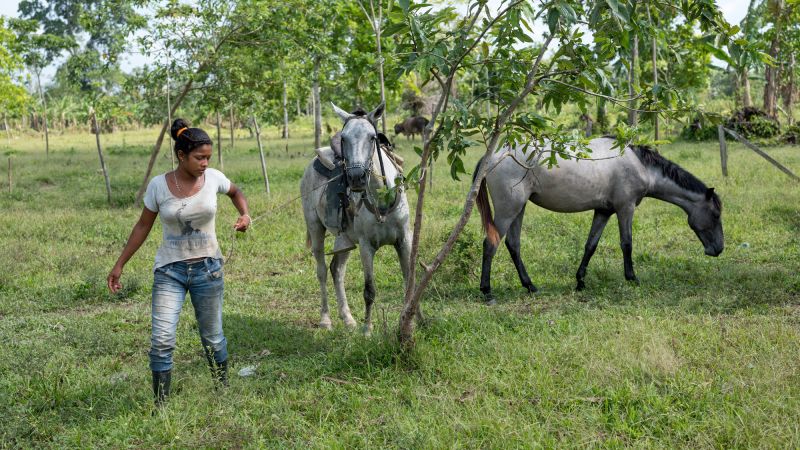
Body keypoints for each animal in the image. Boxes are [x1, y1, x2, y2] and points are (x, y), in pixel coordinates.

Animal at [296, 103, 416, 334]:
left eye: (372, 137)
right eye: (343, 138)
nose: (356, 178)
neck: (381, 198)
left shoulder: (404, 239)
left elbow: (409, 282)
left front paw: (415, 322)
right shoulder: (366, 245)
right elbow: (369, 290)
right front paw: (367, 329)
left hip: (344, 238)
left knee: (337, 270)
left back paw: (348, 318)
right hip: (315, 229)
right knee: (322, 271)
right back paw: (326, 319)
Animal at [476, 135, 724, 300]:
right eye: (715, 214)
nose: (718, 249)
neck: (640, 165)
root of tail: (493, 157)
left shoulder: (603, 211)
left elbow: (591, 246)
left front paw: (580, 281)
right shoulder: (625, 208)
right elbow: (627, 244)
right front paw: (632, 278)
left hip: (519, 209)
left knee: (513, 245)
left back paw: (530, 286)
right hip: (508, 210)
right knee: (490, 244)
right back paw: (487, 291)